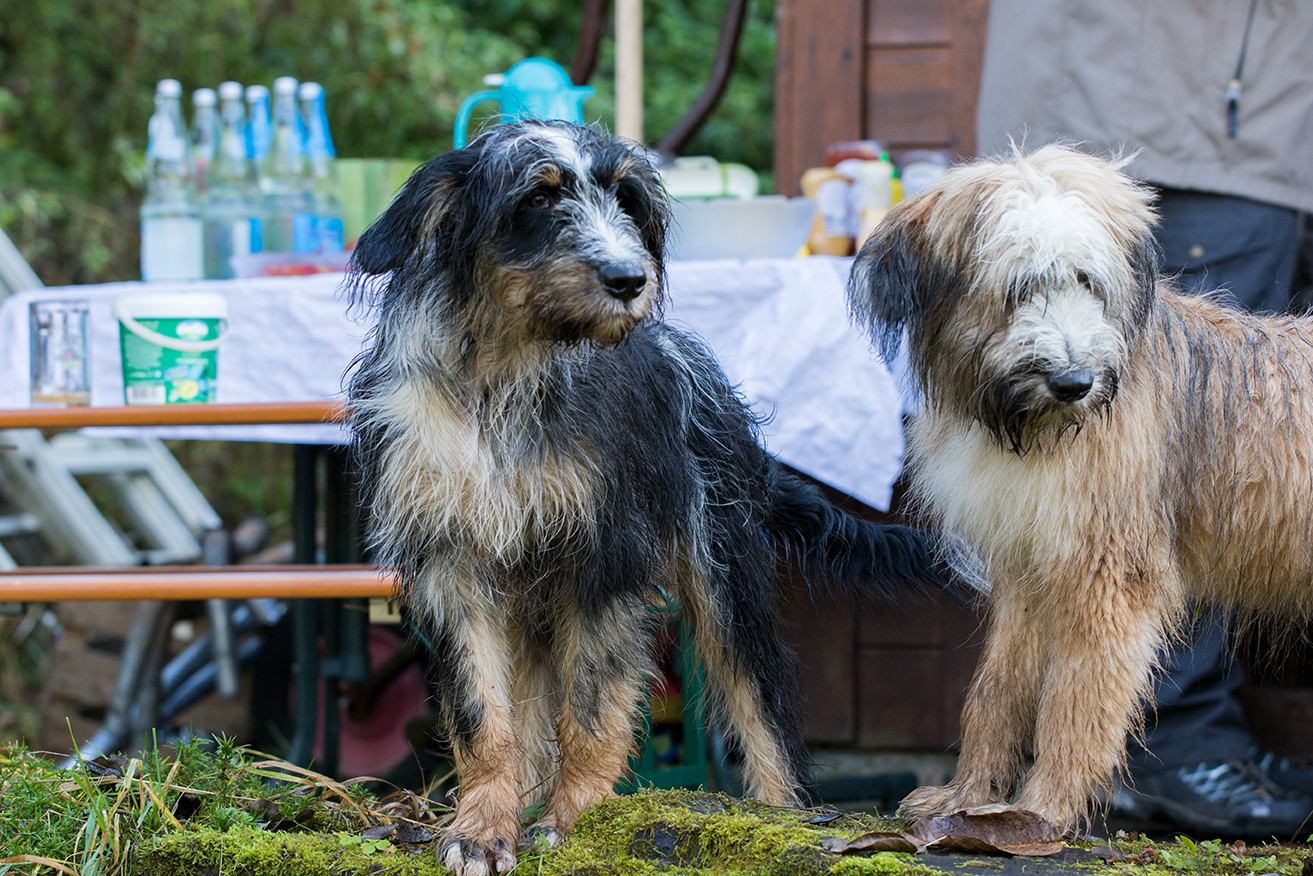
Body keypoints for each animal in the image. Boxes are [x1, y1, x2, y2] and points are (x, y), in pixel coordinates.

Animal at [346, 120, 948, 875]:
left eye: (627, 201)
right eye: (538, 198)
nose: (630, 280)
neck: (505, 382)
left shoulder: (606, 559)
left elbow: (592, 708)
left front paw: (574, 820)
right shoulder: (451, 565)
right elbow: (484, 715)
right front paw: (483, 828)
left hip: (724, 579)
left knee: (765, 716)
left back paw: (782, 819)